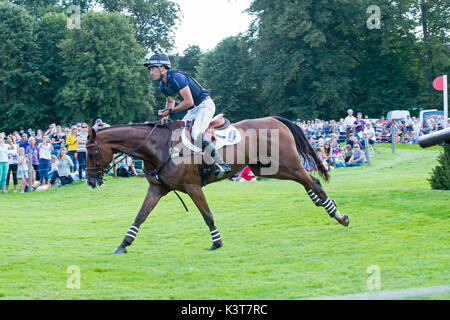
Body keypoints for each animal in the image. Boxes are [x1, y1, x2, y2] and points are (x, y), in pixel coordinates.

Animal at [86, 116, 350, 254]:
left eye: (90, 152)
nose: (90, 181)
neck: (158, 148)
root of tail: (274, 119)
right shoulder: (157, 189)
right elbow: (140, 216)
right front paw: (124, 244)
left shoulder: (193, 187)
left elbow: (207, 215)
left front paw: (216, 242)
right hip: (267, 168)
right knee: (308, 181)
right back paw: (325, 205)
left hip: (286, 163)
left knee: (312, 180)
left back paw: (339, 215)